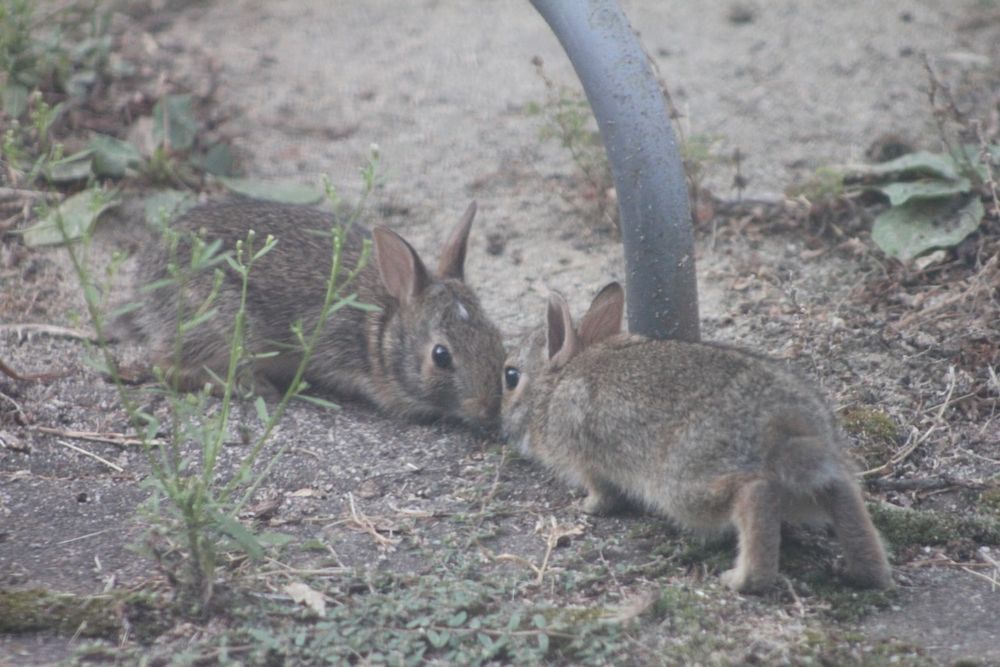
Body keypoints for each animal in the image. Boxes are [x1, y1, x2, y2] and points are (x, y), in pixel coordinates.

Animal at [124, 198, 505, 429]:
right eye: (441, 356)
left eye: (497, 337)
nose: (489, 409)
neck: (380, 329)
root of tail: (146, 274)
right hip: (224, 325)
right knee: (168, 365)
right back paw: (251, 386)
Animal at [500, 282, 893, 593]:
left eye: (510, 376)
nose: (500, 420)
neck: (558, 381)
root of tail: (784, 430)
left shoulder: (588, 461)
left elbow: (603, 494)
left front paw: (587, 507)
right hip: (821, 477)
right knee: (841, 493)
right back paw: (865, 573)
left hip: (685, 486)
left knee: (754, 494)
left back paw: (741, 580)